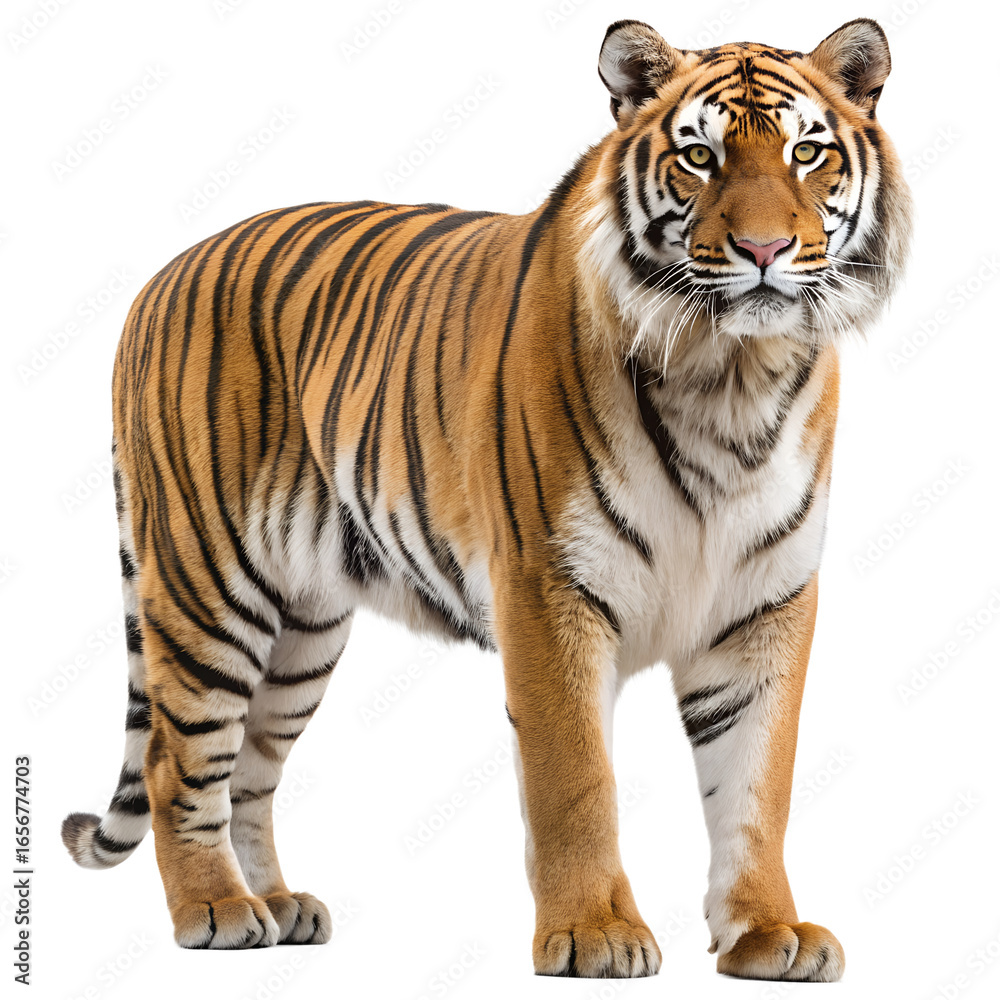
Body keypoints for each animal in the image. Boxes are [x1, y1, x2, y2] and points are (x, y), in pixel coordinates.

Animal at [61, 17, 911, 981]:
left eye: (808, 153)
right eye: (700, 156)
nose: (764, 253)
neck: (733, 376)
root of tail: (158, 277)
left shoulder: (765, 603)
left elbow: (757, 784)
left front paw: (769, 932)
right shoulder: (548, 589)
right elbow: (574, 779)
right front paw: (594, 934)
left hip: (303, 628)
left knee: (248, 768)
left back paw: (278, 905)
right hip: (209, 586)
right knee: (178, 761)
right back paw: (216, 910)